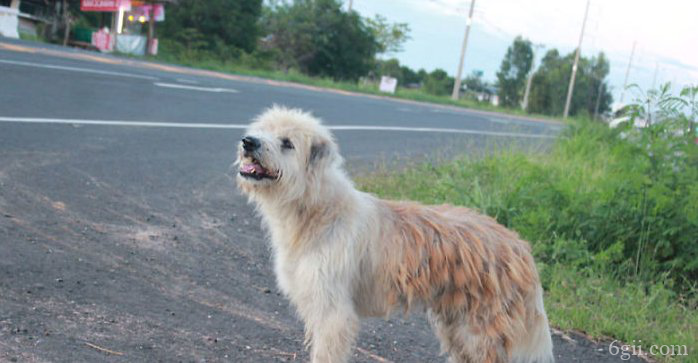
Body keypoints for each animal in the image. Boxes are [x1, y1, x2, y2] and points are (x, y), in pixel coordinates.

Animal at [237, 106, 552, 362]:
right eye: (263, 129)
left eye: (287, 143)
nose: (248, 142)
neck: (317, 209)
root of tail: (520, 247)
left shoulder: (333, 315)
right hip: (457, 326)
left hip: (480, 332)